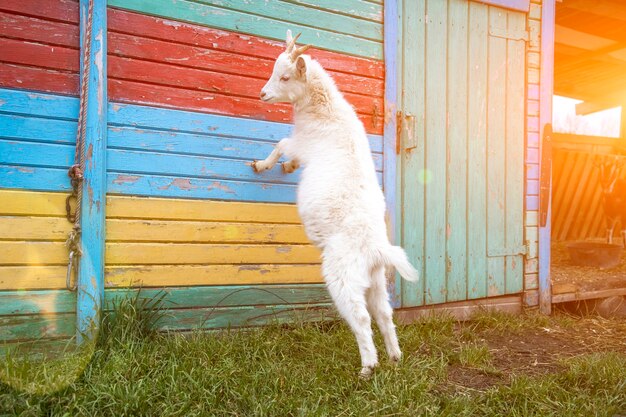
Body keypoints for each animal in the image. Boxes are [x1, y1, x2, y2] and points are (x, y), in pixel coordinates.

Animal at [251, 30, 416, 376]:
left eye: (285, 76)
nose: (263, 94)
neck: (326, 110)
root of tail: (376, 249)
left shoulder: (303, 143)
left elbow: (282, 144)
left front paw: (265, 165)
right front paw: (286, 167)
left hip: (343, 275)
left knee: (361, 316)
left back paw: (368, 367)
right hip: (375, 278)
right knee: (383, 313)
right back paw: (394, 357)